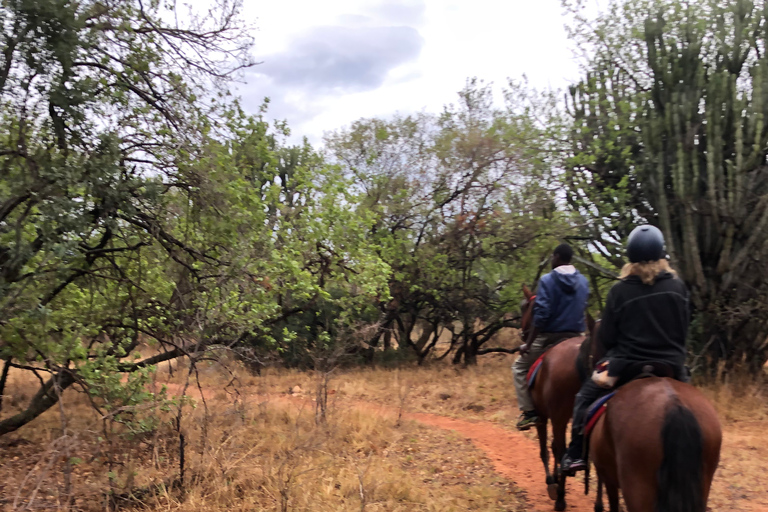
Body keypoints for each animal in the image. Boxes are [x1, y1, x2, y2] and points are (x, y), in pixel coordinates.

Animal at [520, 286, 596, 510]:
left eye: (525, 307)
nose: (523, 336)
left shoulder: (544, 417)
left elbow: (545, 450)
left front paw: (551, 483)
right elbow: (553, 449)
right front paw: (556, 477)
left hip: (559, 417)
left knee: (561, 450)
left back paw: (561, 498)